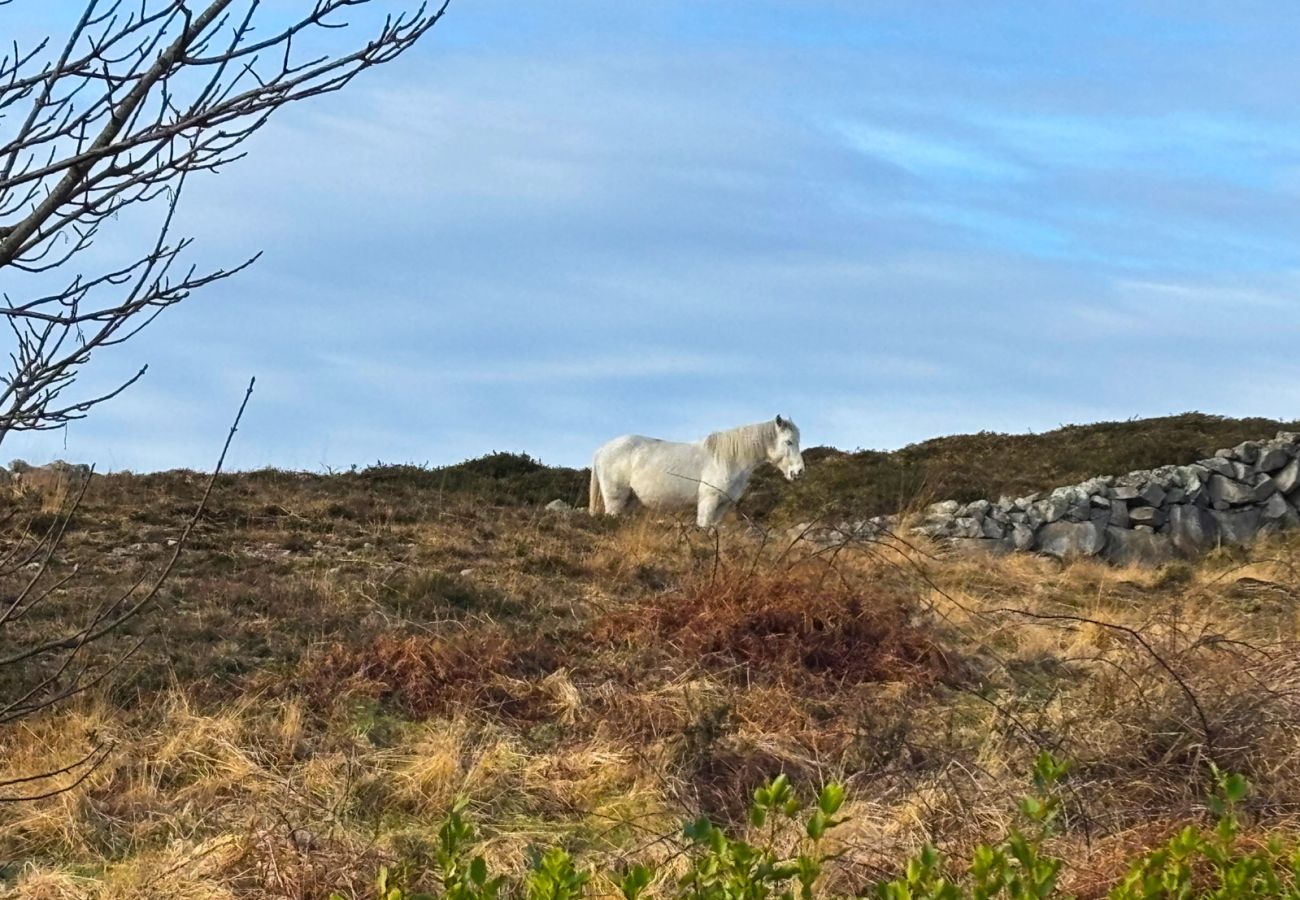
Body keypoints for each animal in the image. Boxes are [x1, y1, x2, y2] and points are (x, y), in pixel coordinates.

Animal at [588, 415, 805, 527]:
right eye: (788, 441)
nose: (799, 471)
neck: (728, 459)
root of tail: (602, 449)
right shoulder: (708, 501)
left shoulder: (722, 506)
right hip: (615, 500)